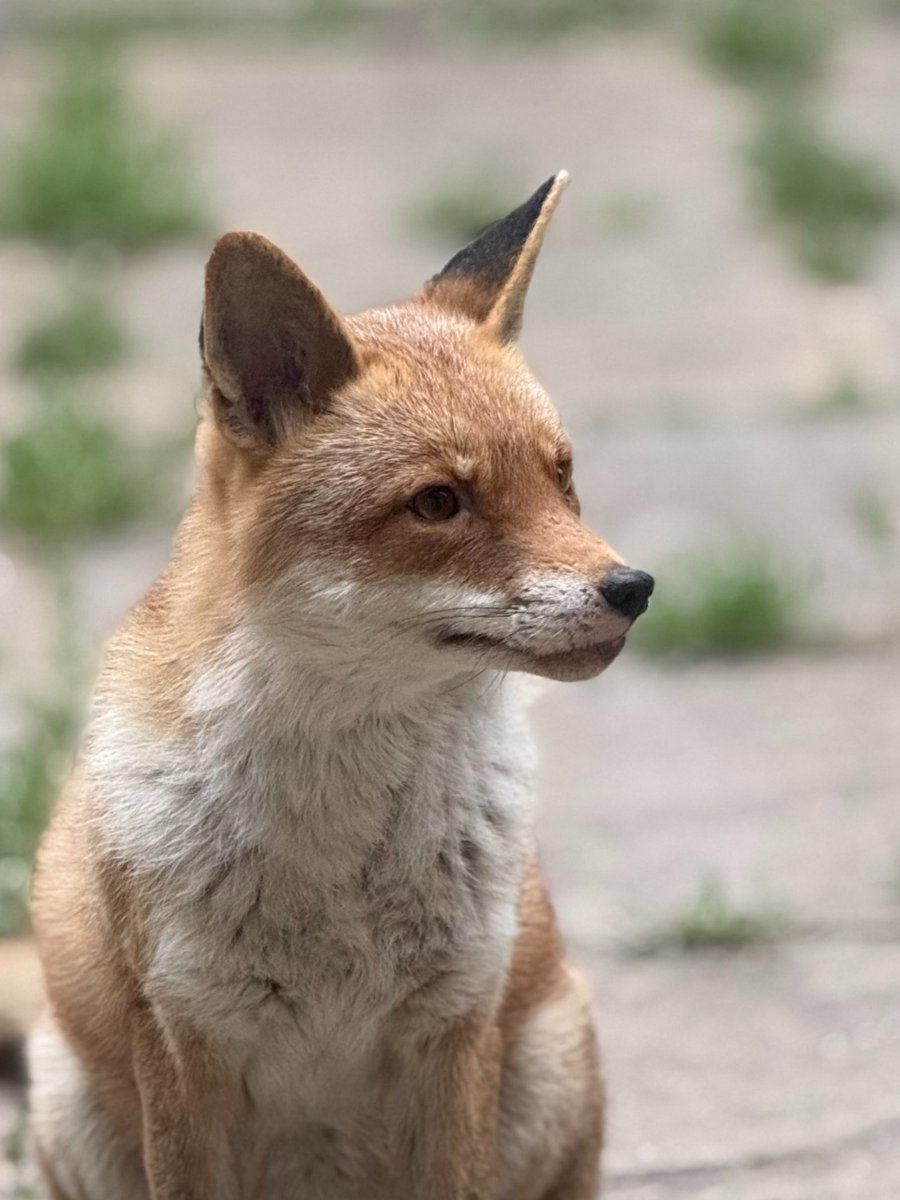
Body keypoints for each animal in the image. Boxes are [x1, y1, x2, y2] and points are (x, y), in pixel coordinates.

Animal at [28, 171, 654, 1200]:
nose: (633, 590)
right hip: (66, 1104)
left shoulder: (455, 1027)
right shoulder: (184, 1045)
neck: (343, 869)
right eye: (439, 502)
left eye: (564, 479)